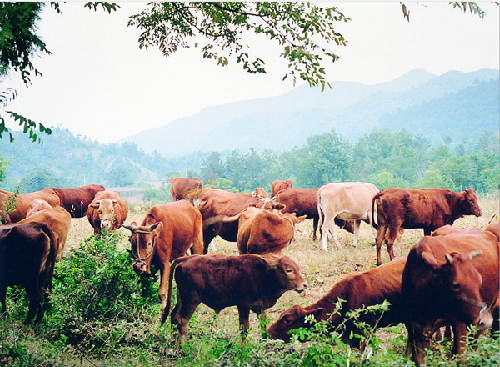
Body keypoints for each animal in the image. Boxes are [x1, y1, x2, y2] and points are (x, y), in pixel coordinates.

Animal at [162, 254, 306, 344]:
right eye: (289, 270)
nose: (304, 285)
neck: (264, 273)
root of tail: (183, 259)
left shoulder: (260, 308)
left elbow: (263, 324)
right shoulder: (243, 306)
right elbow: (244, 328)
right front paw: (244, 347)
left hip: (182, 298)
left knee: (174, 316)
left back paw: (174, 342)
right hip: (191, 301)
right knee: (182, 320)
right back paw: (185, 346)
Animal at [400, 224, 498, 367]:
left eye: (479, 280)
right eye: (455, 285)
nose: (485, 321)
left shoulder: (459, 322)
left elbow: (461, 358)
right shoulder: (417, 327)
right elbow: (419, 360)